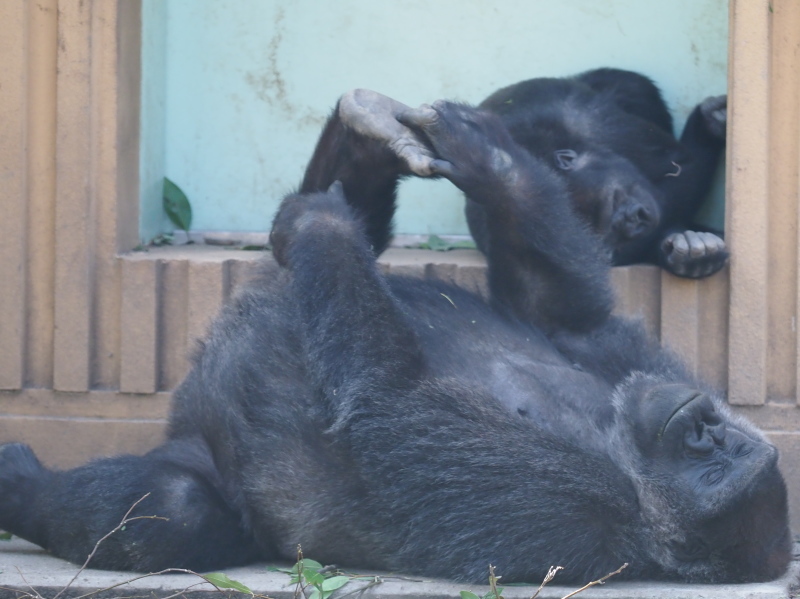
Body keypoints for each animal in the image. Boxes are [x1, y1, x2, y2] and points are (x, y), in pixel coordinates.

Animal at [466, 68, 736, 278]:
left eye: (612, 199)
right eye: (607, 237)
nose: (630, 222)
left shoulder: (594, 122)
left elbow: (682, 169)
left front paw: (706, 126)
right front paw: (684, 255)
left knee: (630, 84)